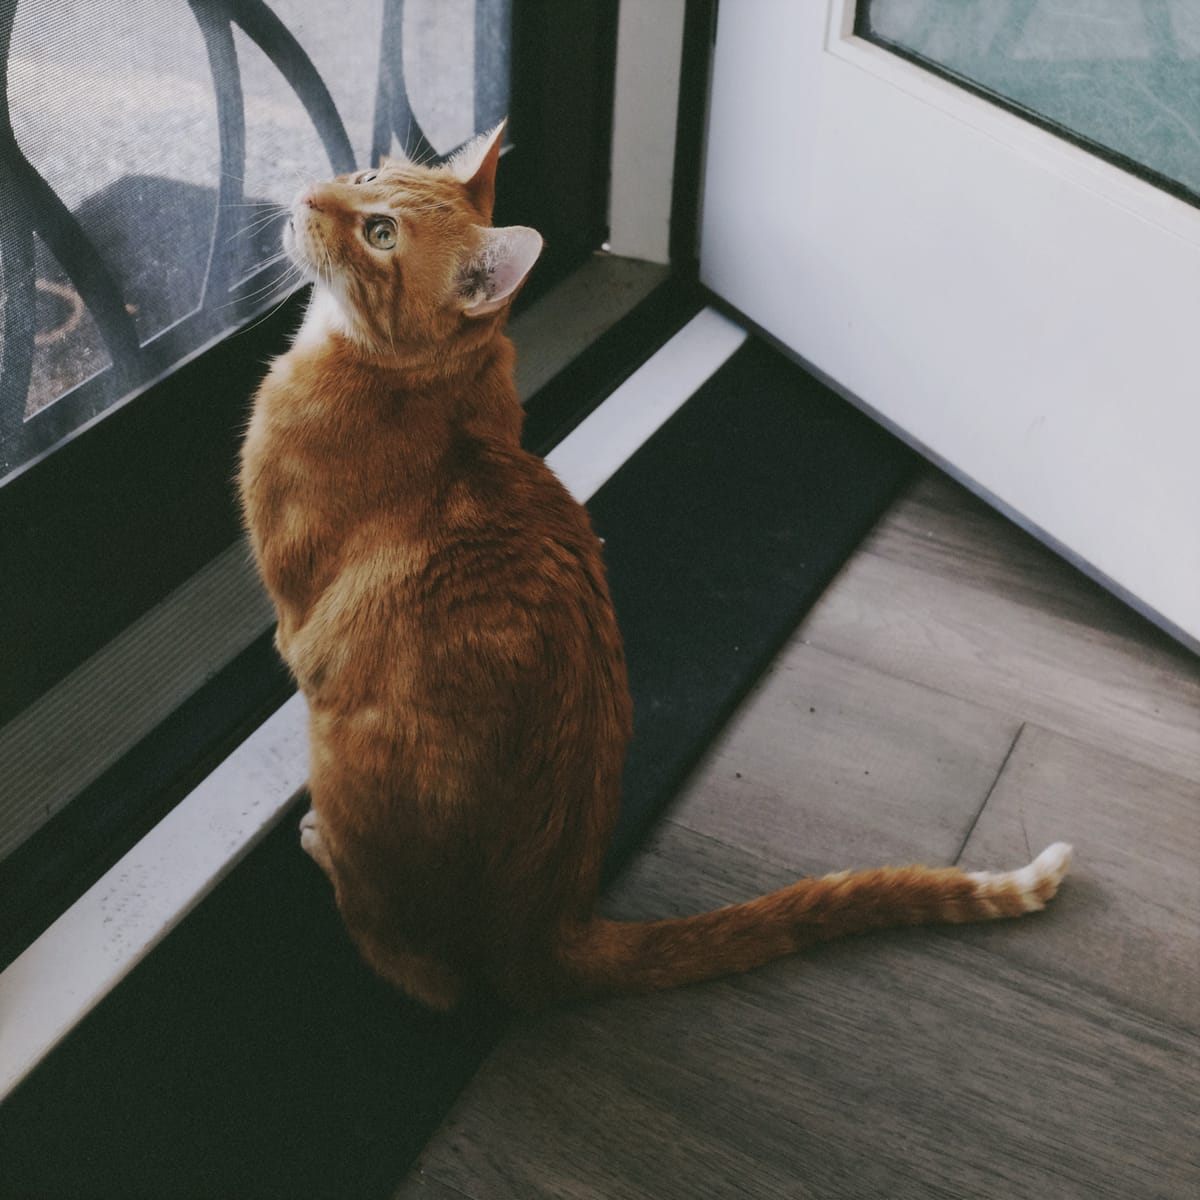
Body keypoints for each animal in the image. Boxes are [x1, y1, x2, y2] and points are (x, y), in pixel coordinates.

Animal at [236, 121, 1070, 1008]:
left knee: (420, 974)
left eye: (381, 233)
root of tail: (555, 924)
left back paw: (325, 849)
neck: (424, 381)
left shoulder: (292, 620)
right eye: (364, 178)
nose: (309, 194)